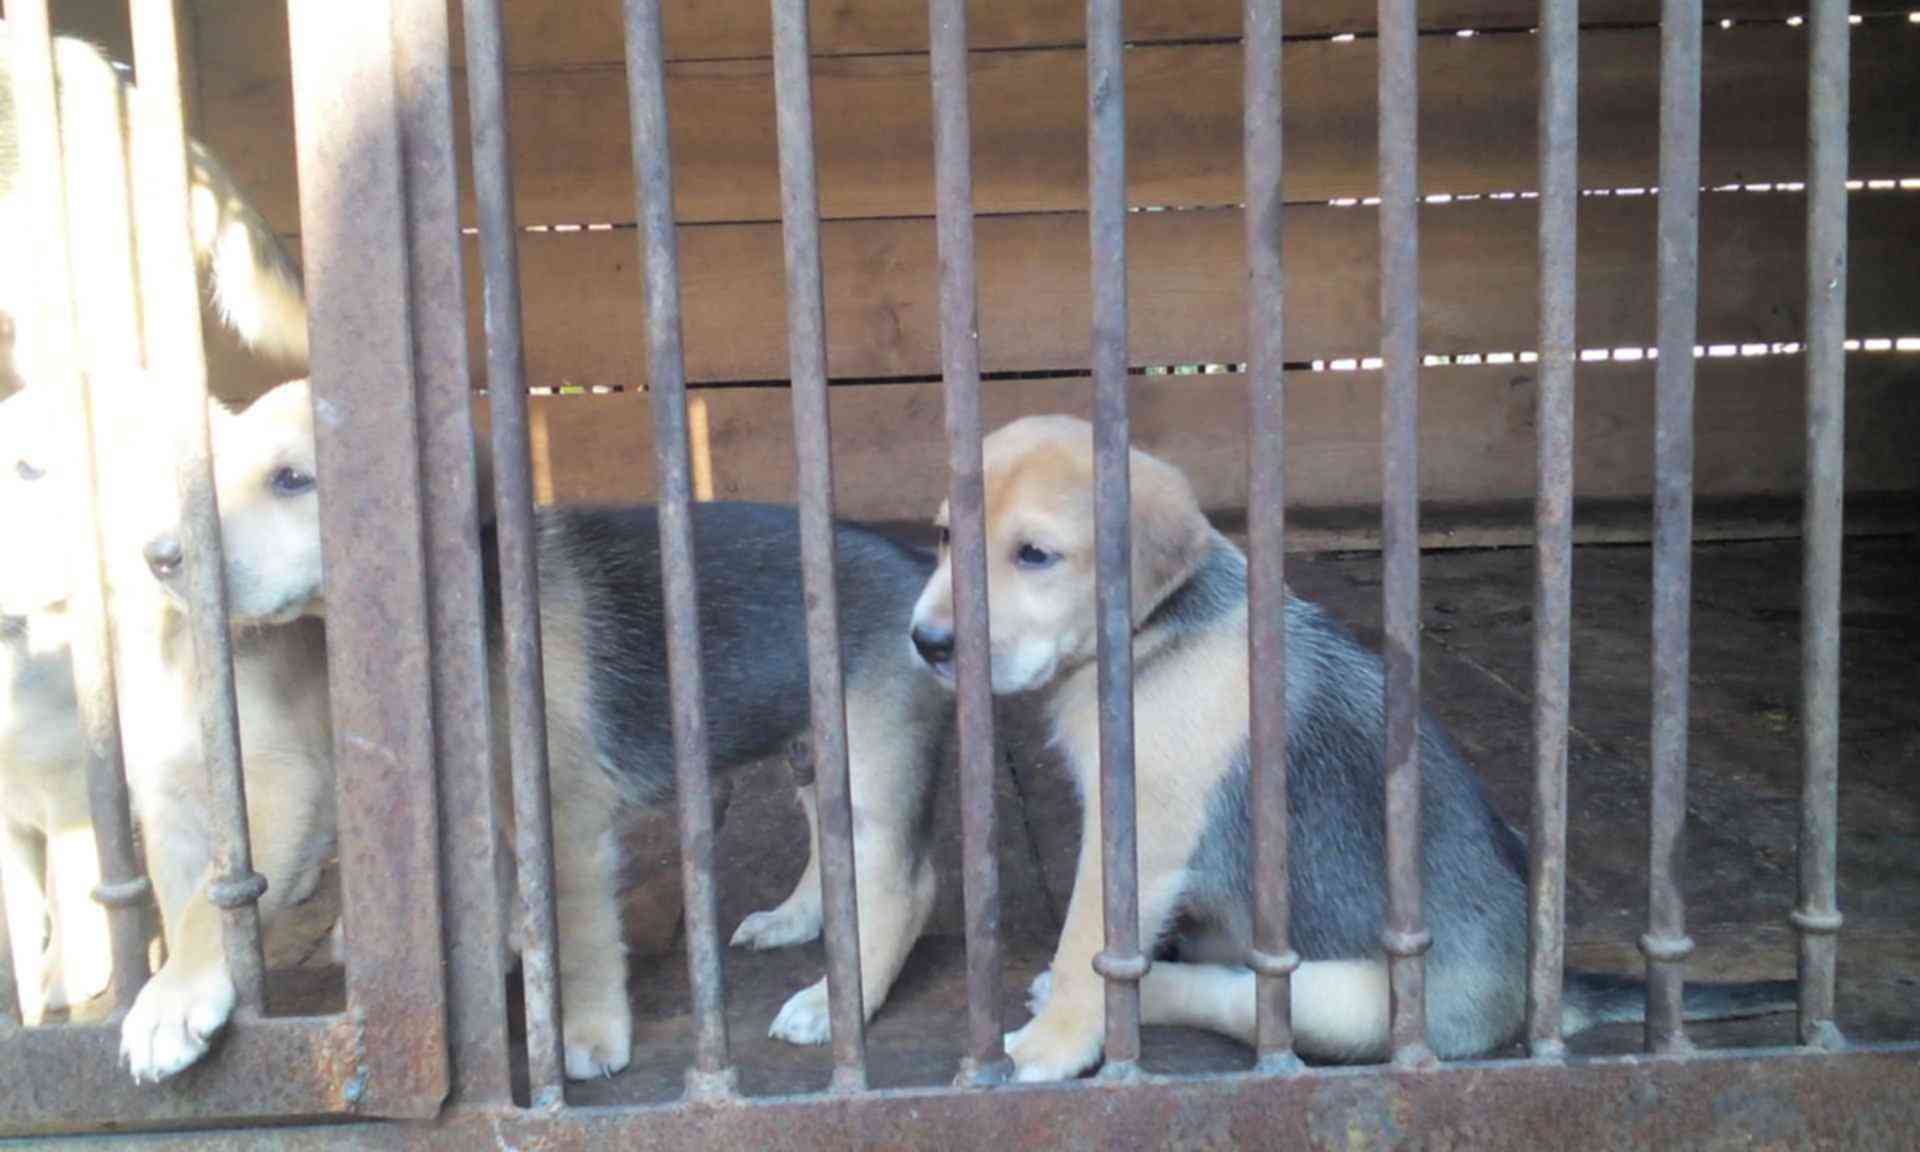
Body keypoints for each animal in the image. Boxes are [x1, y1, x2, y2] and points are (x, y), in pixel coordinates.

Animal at [206, 378, 956, 1082]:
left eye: (293, 480)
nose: (177, 559)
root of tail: (922, 568)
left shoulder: (566, 817)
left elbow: (579, 938)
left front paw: (590, 1037)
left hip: (876, 757)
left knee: (905, 889)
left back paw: (832, 1004)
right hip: (816, 749)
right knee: (835, 851)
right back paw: (795, 921)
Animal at [906, 418, 1789, 1082]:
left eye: (1035, 555)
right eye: (945, 537)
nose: (926, 643)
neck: (1155, 634)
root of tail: (1547, 985)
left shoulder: (1135, 834)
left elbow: (1087, 944)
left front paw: (1052, 1045)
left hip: (1348, 1002)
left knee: (1234, 995)